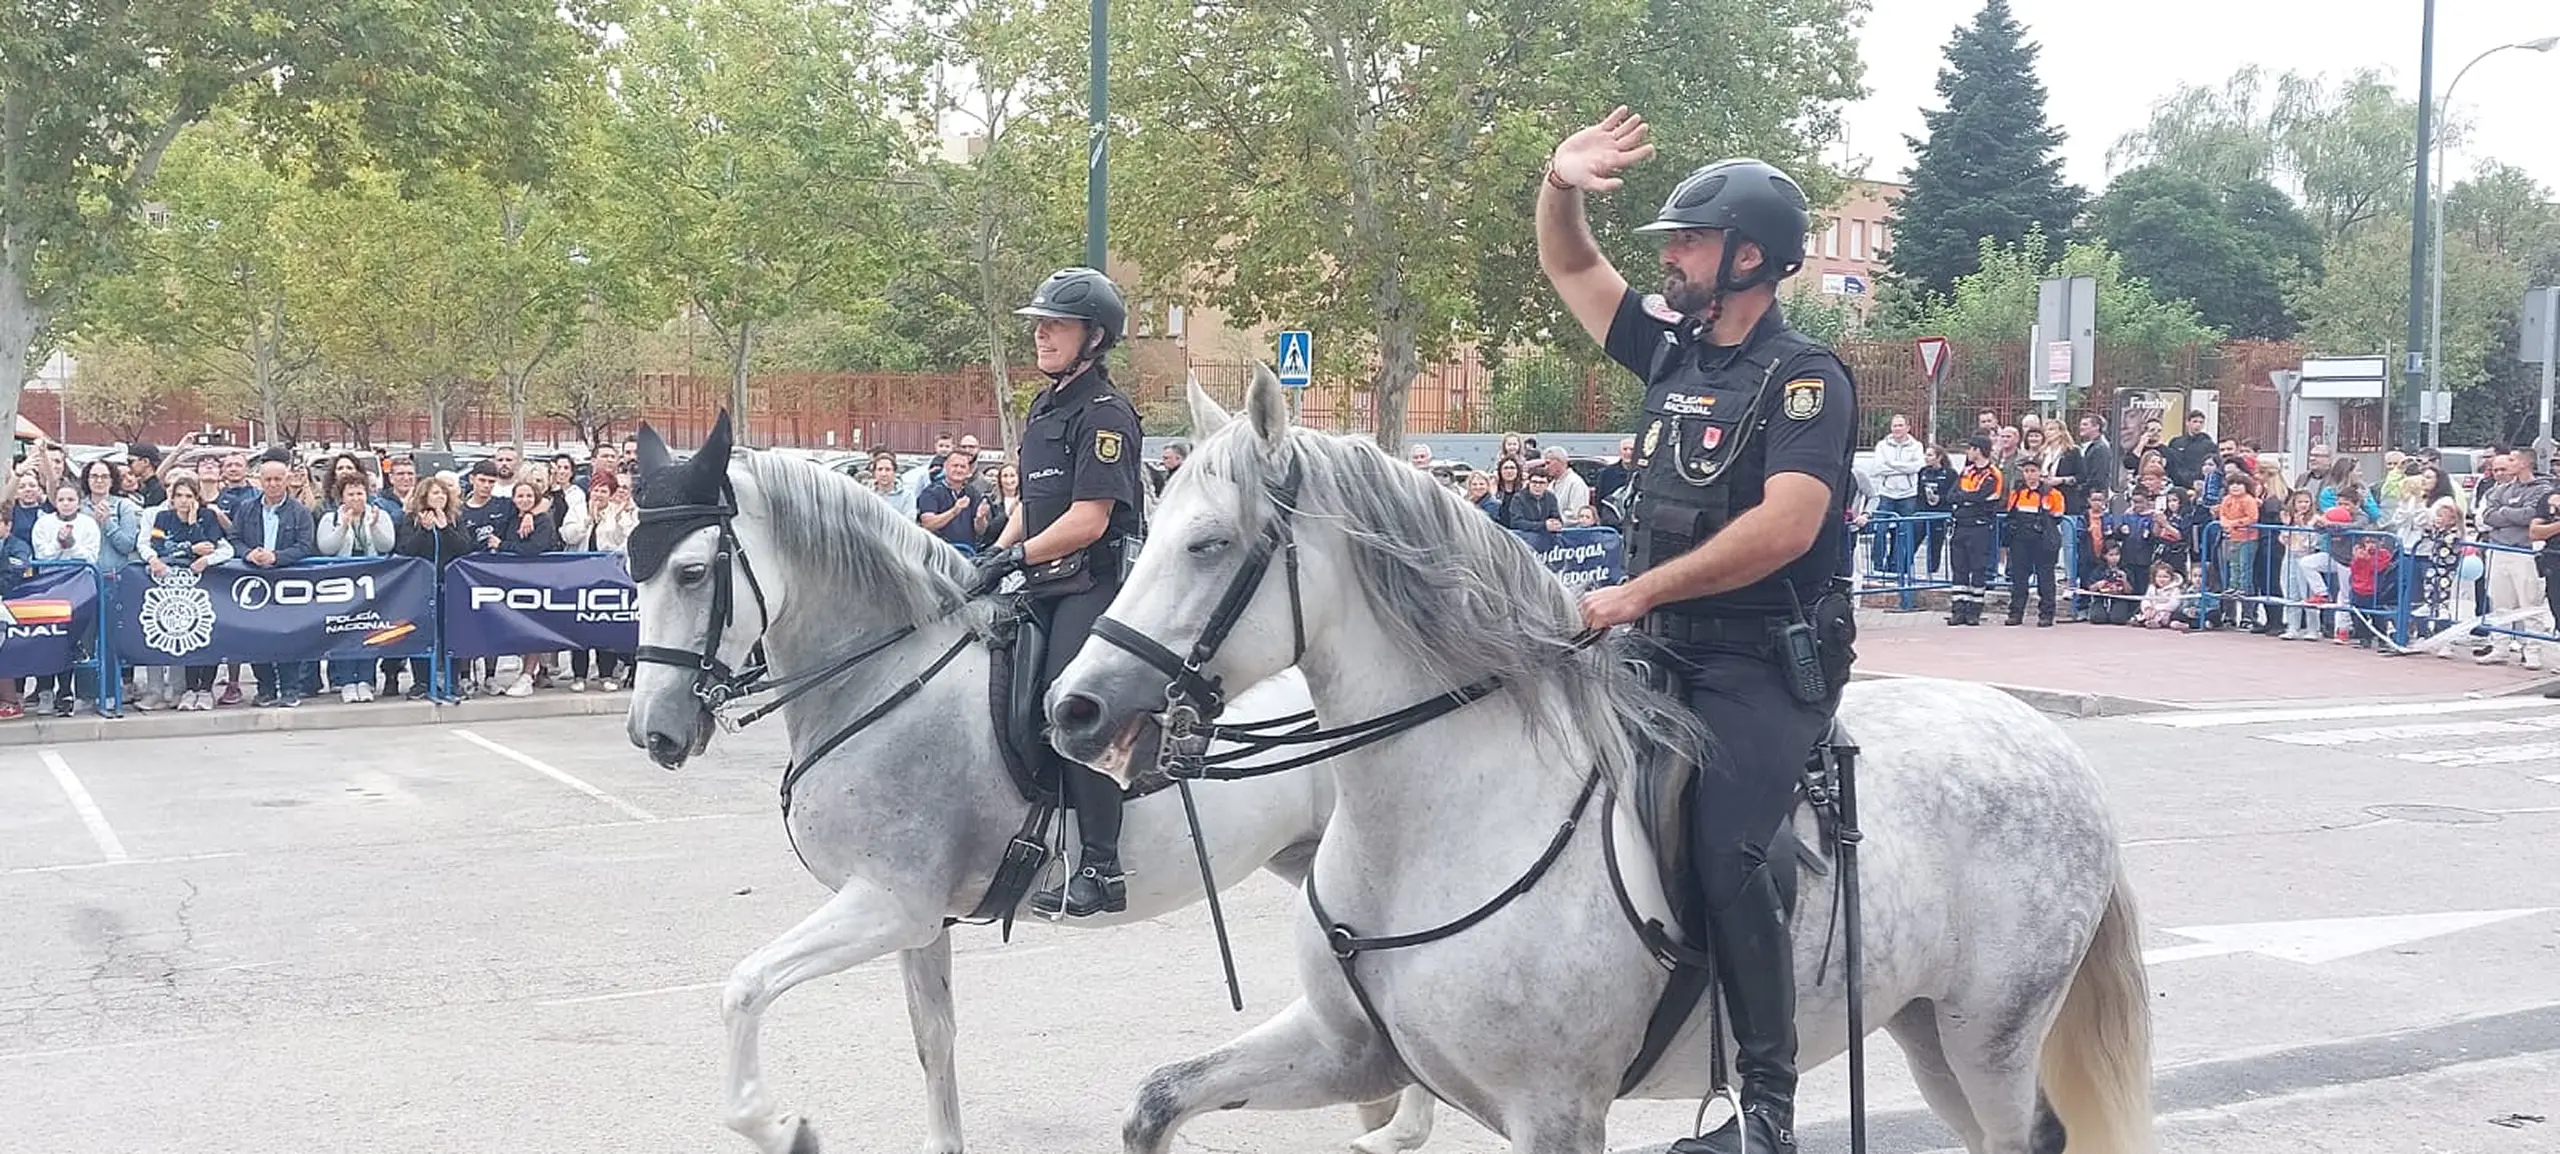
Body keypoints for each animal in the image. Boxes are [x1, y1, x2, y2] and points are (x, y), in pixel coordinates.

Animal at [611, 414, 1433, 1154]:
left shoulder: (887, 906)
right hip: (1305, 859)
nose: (654, 733)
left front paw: (779, 1126)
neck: (885, 675)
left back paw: (1402, 1123)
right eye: (630, 572)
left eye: (691, 572)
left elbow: (744, 988)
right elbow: (933, 1039)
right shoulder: (919, 922)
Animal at [1044, 368, 2160, 1154]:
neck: (1437, 822)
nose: (1073, 707)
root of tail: (2056, 748)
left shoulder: (1554, 1109)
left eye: (1207, 545)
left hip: (1990, 1037)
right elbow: (1157, 1101)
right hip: (1932, 1033)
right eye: (1148, 530)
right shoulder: (1345, 1048)